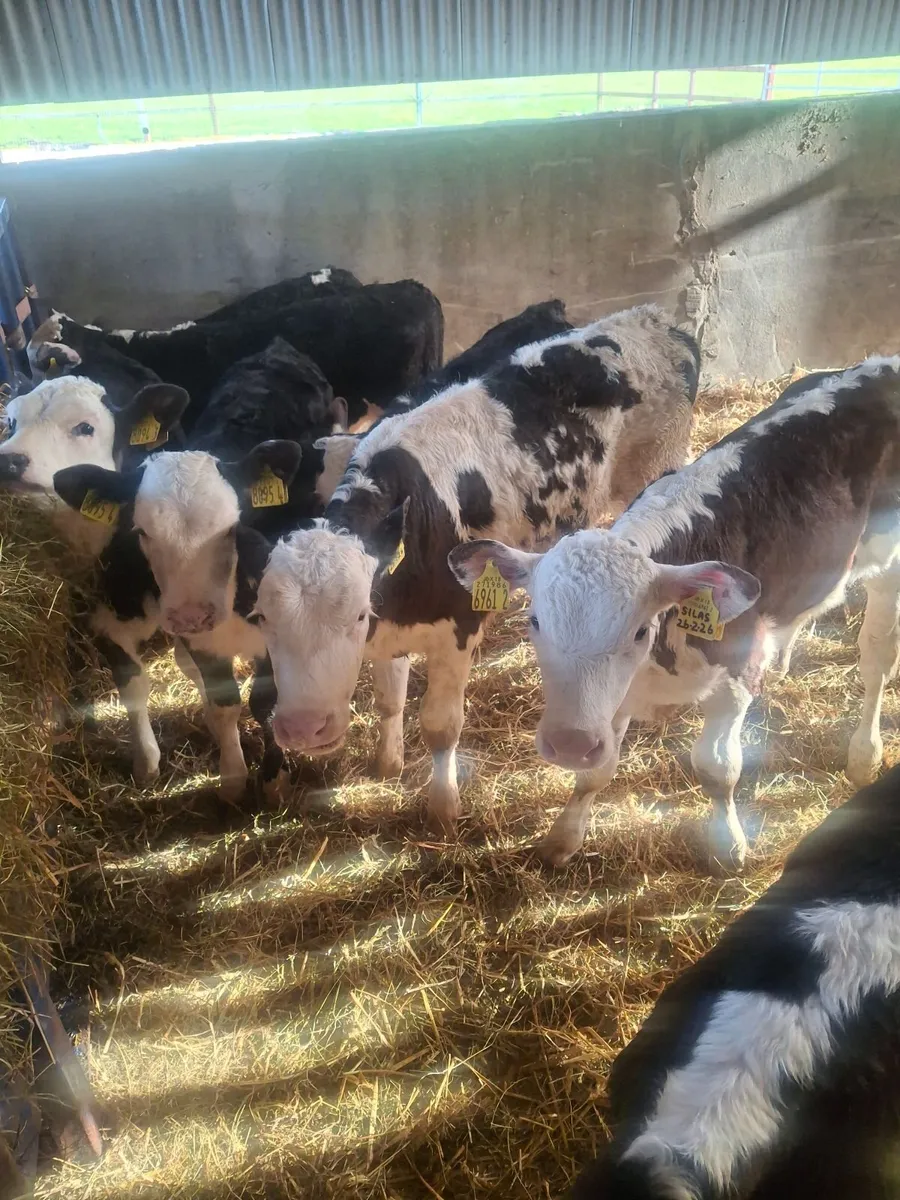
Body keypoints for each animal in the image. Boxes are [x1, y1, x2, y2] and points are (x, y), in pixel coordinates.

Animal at [250, 305, 699, 835]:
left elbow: (441, 727)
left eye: (356, 614)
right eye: (262, 618)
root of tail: (653, 316)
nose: (302, 728)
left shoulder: (456, 628)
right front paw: (387, 762)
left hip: (657, 465)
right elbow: (389, 699)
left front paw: (443, 806)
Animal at [447, 357, 900, 872]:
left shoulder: (734, 677)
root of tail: (880, 366)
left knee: (877, 660)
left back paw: (864, 755)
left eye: (639, 631)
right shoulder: (612, 702)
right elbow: (597, 772)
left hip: (889, 562)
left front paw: (728, 844)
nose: (569, 744)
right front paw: (563, 837)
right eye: (535, 622)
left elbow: (718, 768)